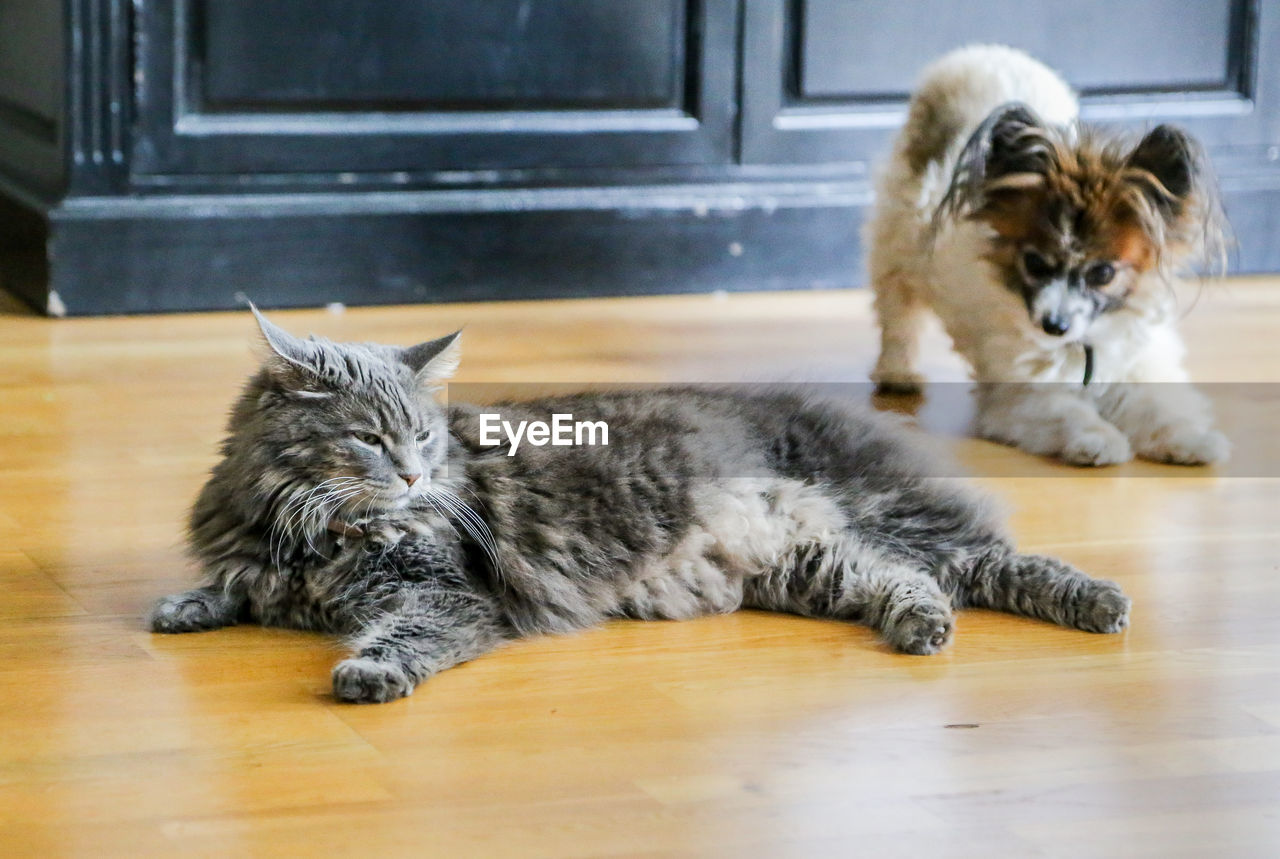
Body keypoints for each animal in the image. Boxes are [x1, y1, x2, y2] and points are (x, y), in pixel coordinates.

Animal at [149, 312, 1131, 701]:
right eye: (368, 438)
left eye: (422, 437)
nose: (416, 479)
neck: (311, 529)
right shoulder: (262, 558)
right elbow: (231, 587)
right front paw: (183, 606)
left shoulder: (444, 594)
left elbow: (404, 635)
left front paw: (369, 672)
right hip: (811, 561)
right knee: (905, 580)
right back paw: (922, 628)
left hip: (886, 511)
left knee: (990, 560)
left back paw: (1101, 603)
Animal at [865, 43, 1223, 465]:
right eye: (1034, 264)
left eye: (1103, 273)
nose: (1054, 325)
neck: (1084, 344)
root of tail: (977, 58)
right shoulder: (1023, 392)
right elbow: (1067, 411)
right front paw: (1098, 439)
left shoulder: (1139, 366)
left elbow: (1160, 407)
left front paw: (1191, 438)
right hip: (898, 253)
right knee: (898, 314)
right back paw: (897, 373)